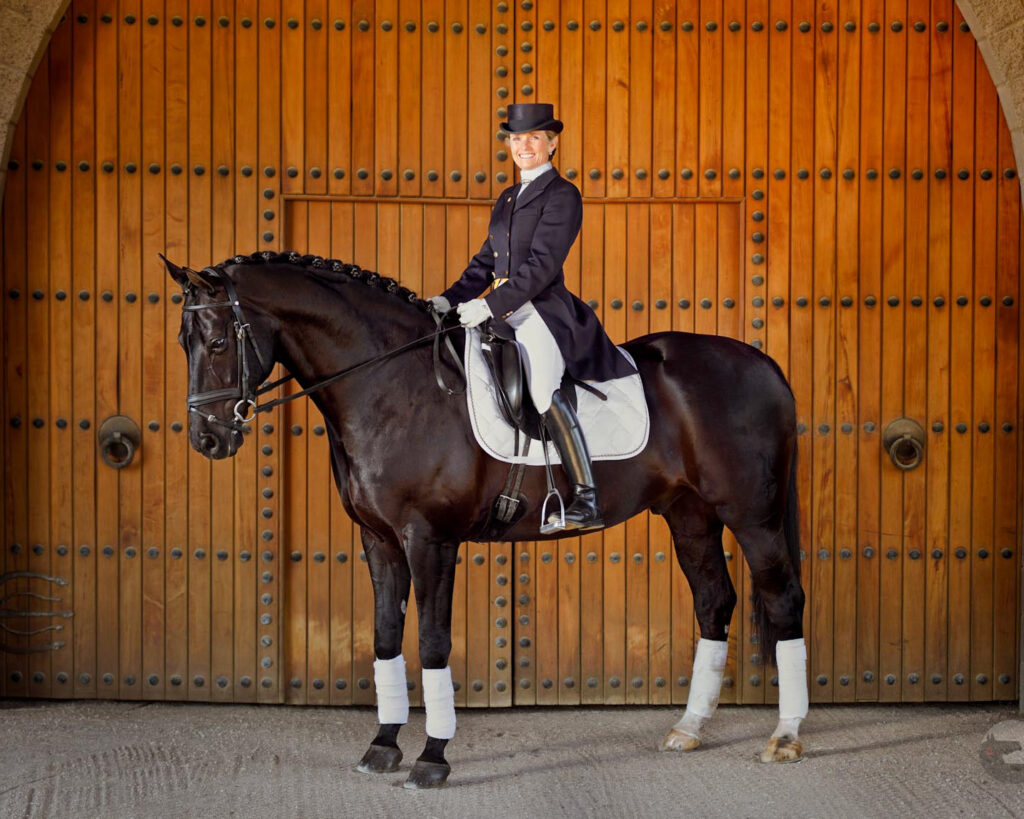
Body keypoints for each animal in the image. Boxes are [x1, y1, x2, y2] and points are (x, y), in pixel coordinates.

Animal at [163, 250, 808, 789]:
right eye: (182, 342)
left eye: (216, 342)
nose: (207, 440)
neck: (393, 386)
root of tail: (762, 361)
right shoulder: (378, 539)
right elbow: (385, 636)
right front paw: (384, 746)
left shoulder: (430, 538)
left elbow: (432, 642)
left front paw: (432, 758)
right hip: (689, 515)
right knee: (714, 601)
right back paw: (689, 728)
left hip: (752, 517)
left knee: (783, 601)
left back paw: (785, 737)